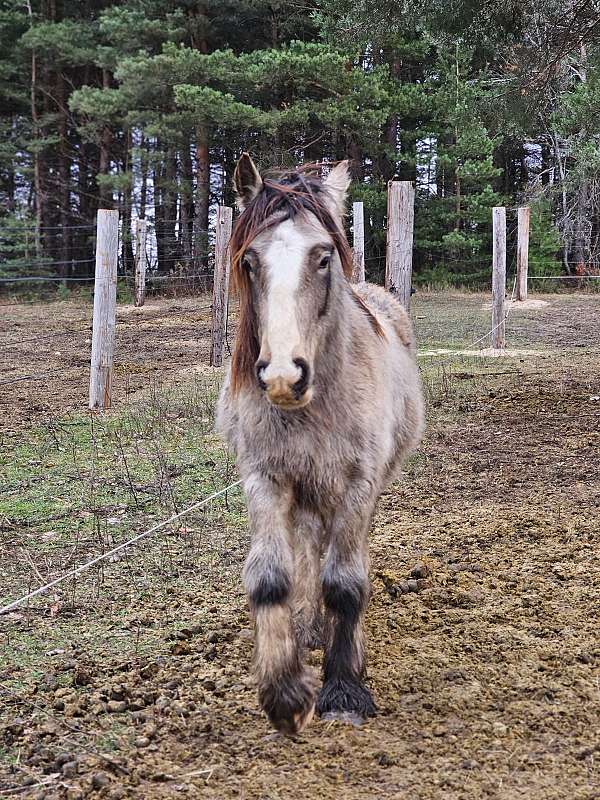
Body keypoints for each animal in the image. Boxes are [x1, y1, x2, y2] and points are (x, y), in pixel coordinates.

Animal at [218, 153, 424, 736]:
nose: (284, 377)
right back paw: (310, 628)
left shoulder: (357, 483)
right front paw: (285, 691)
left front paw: (344, 690)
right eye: (249, 261)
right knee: (310, 545)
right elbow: (269, 577)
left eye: (324, 257)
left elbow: (346, 582)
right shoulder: (265, 477)